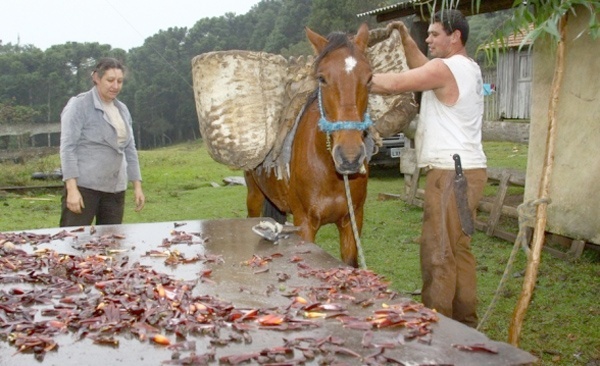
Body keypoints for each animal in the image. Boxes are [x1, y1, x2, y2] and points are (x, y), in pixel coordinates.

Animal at [246, 23, 372, 268]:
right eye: (322, 78)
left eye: (370, 78)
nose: (350, 157)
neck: (329, 171)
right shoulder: (304, 224)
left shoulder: (352, 222)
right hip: (254, 196)